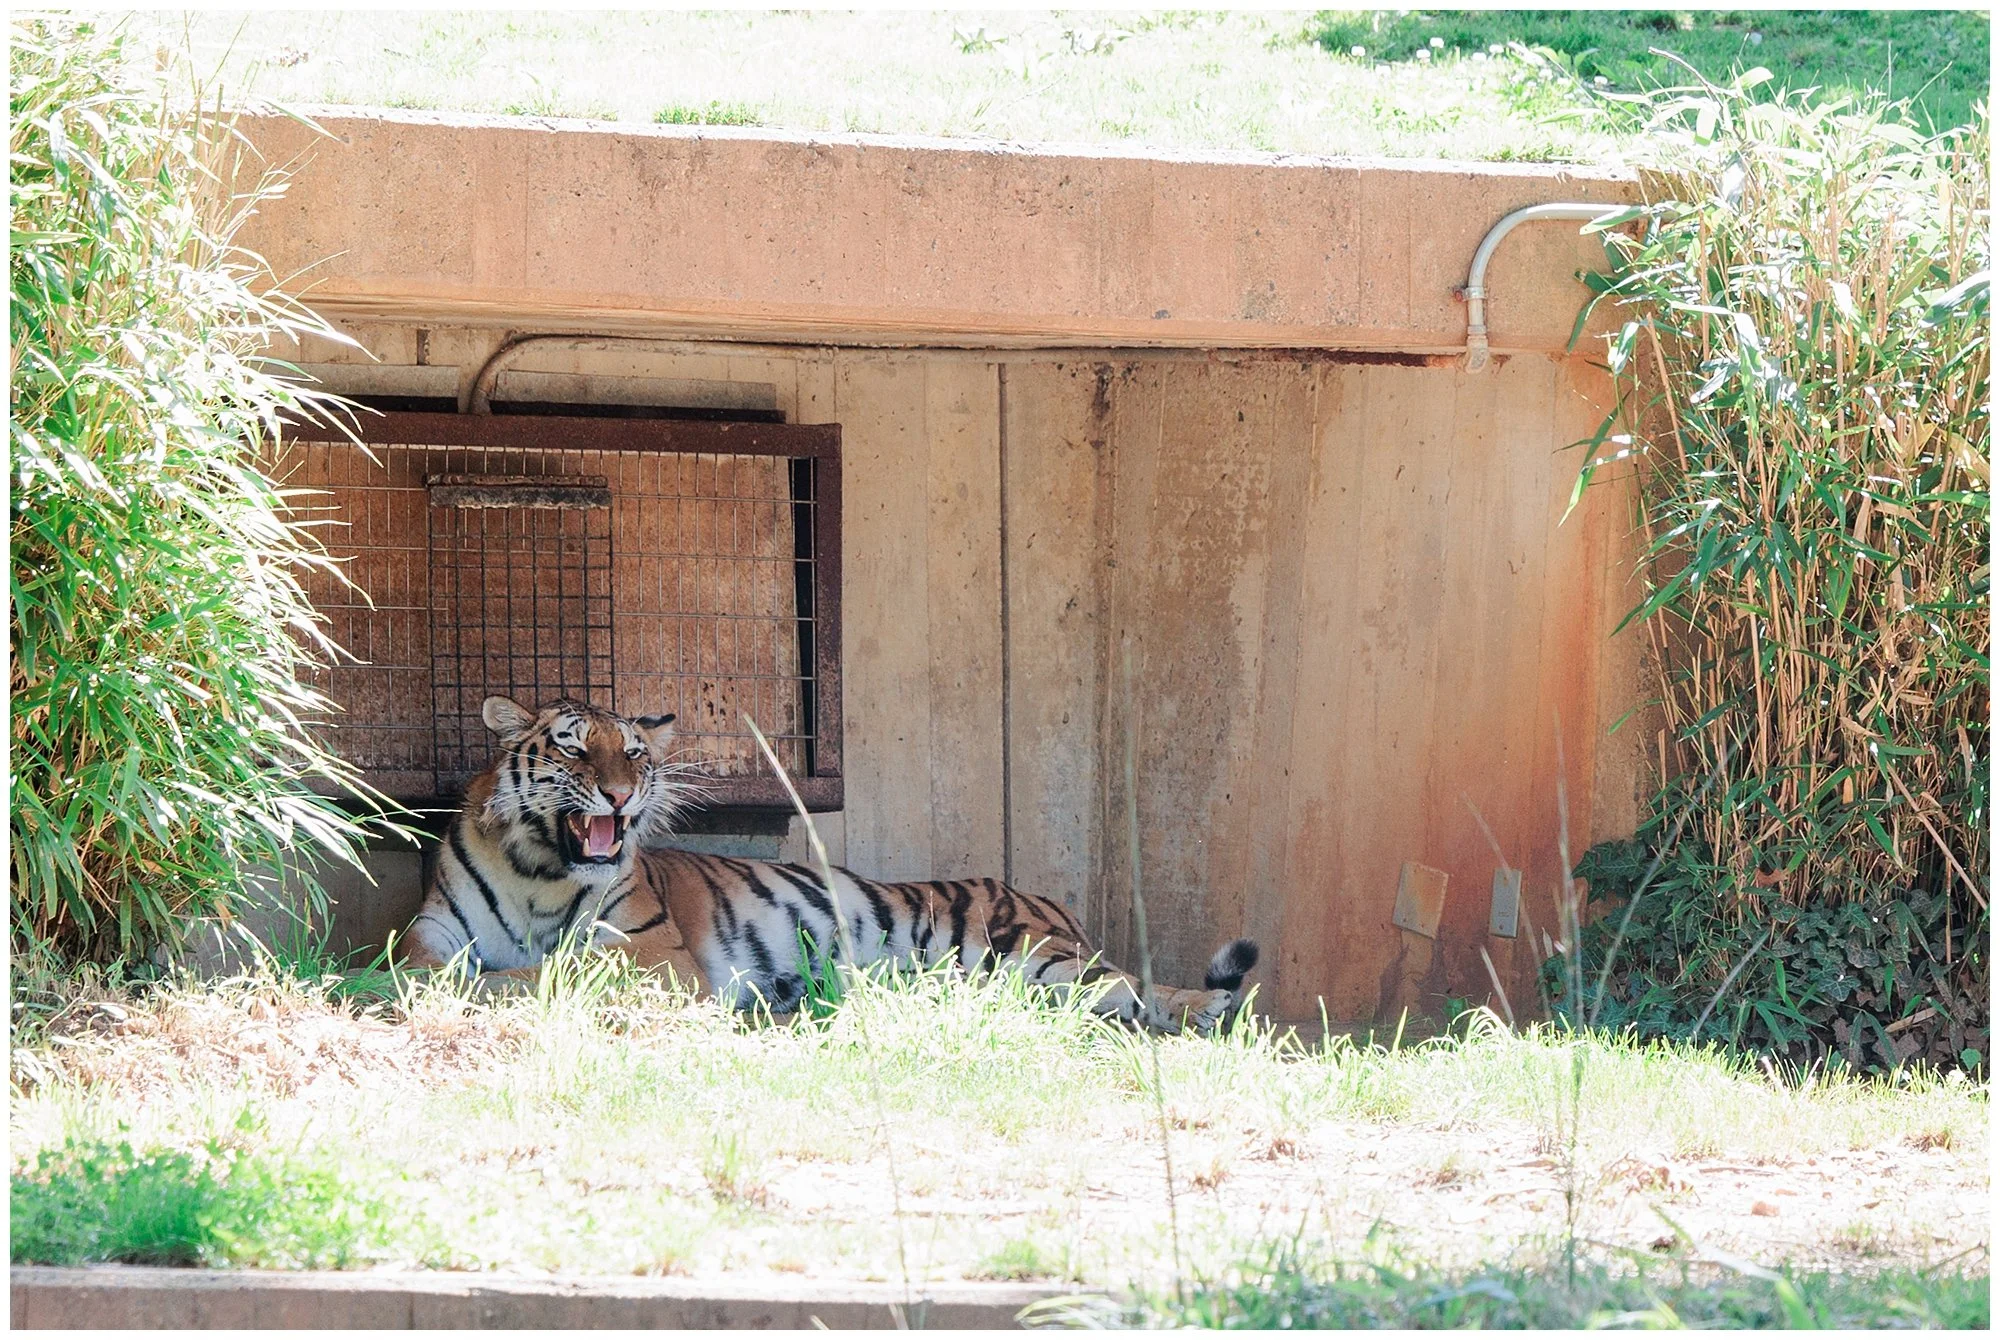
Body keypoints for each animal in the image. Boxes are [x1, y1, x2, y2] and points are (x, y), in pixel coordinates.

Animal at [400, 694, 1261, 1034]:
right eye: (577, 748)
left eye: (635, 753)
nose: (621, 792)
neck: (541, 873)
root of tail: (1055, 904)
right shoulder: (432, 926)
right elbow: (417, 964)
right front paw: (440, 986)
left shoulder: (652, 956)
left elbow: (551, 971)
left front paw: (498, 986)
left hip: (1034, 955)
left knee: (1134, 988)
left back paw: (1207, 1009)